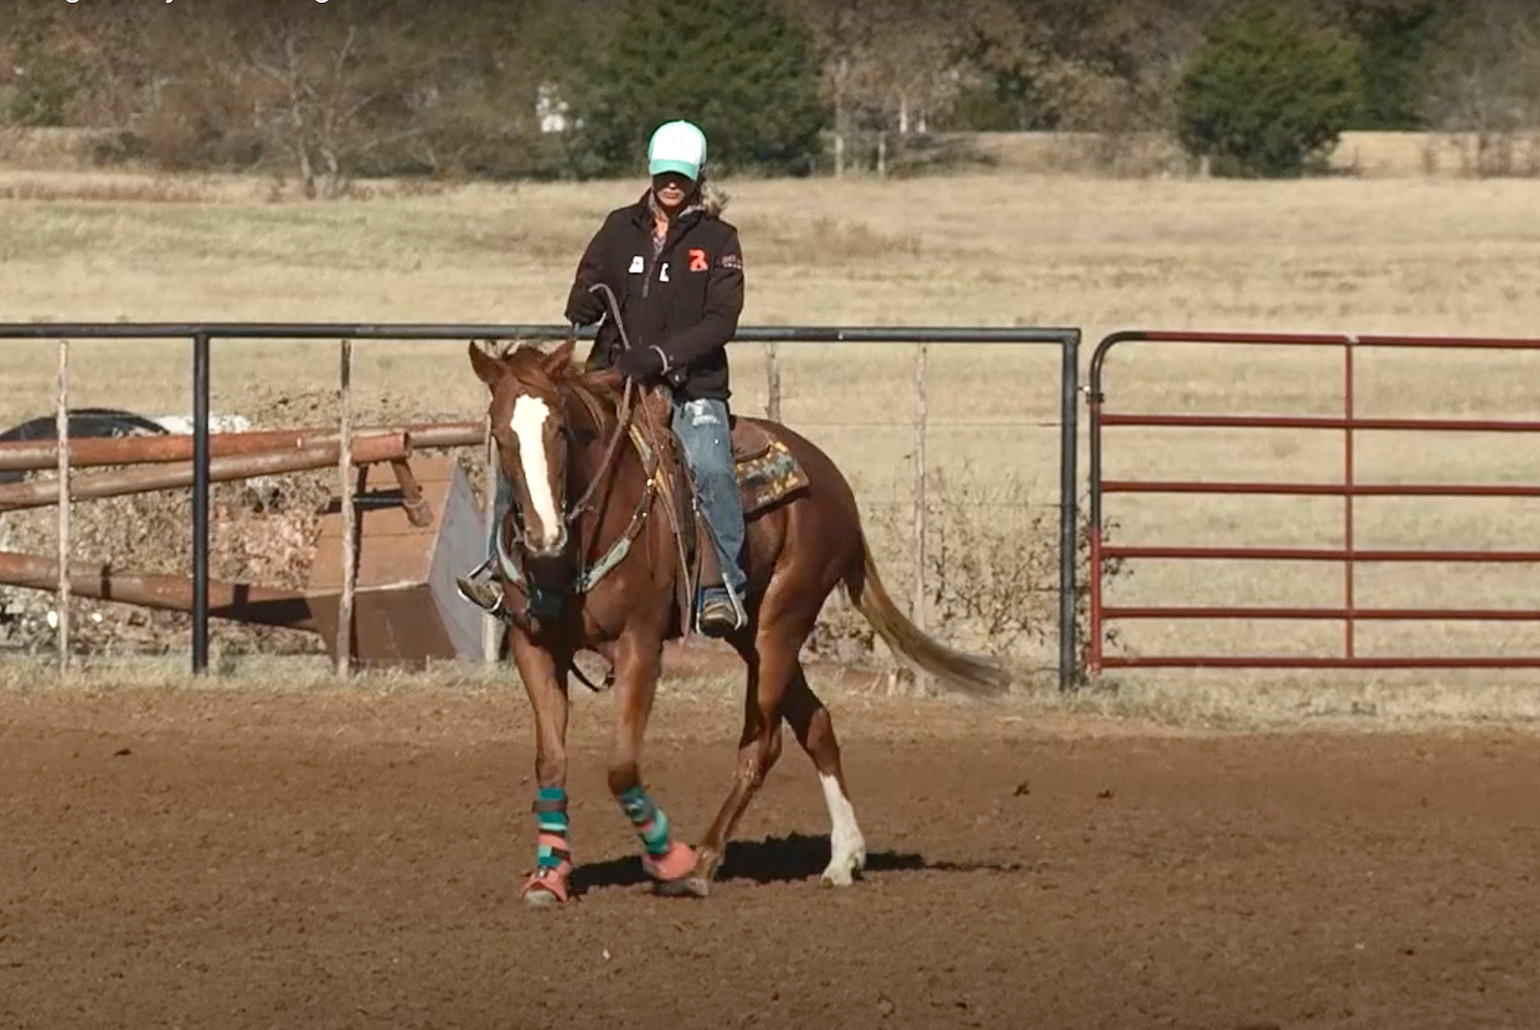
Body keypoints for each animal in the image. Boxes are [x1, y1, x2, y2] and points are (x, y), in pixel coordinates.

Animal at [466, 336, 1010, 905]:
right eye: (501, 436)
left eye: (560, 431)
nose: (544, 536)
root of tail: (836, 486)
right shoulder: (534, 645)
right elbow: (550, 761)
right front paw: (548, 876)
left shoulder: (641, 645)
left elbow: (620, 769)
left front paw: (670, 858)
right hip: (754, 634)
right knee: (816, 722)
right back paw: (844, 856)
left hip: (781, 623)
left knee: (762, 743)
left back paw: (703, 862)